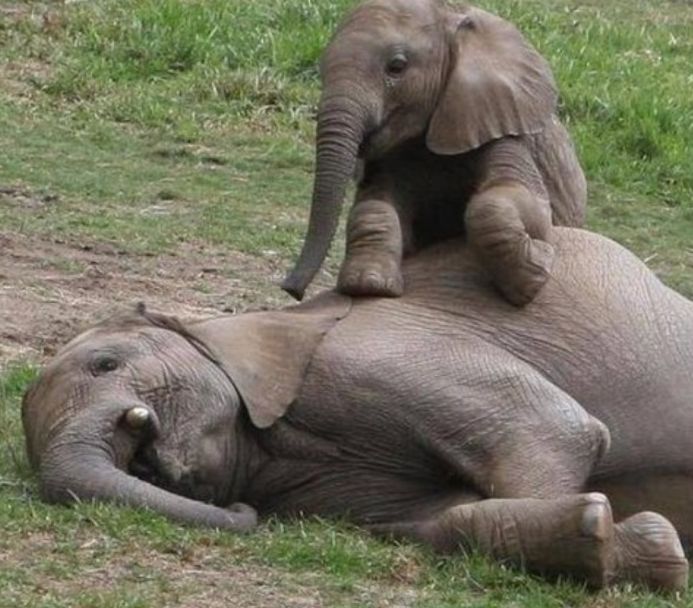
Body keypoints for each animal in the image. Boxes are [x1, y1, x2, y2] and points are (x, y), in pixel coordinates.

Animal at [22, 228, 693, 591]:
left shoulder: (374, 353)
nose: (244, 512)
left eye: (105, 364)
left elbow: (556, 431)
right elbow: (441, 518)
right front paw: (637, 545)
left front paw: (609, 534)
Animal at [282, 0, 587, 306]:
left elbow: (516, 200)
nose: (291, 289)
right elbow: (374, 205)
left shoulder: (500, 125)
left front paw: (532, 278)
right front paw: (368, 284)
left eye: (396, 67)